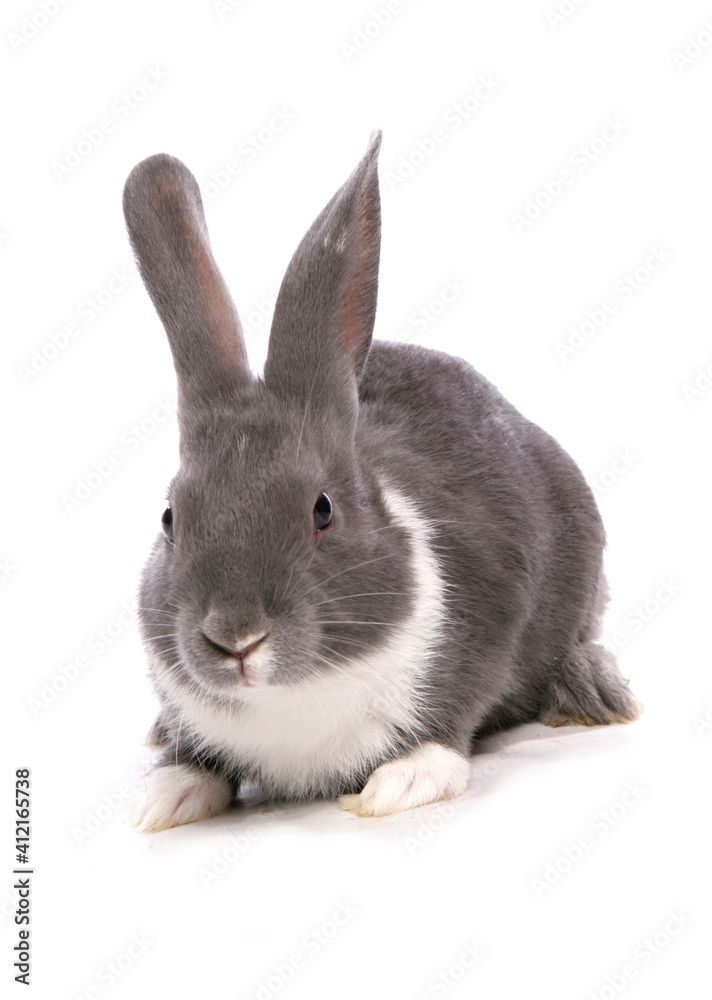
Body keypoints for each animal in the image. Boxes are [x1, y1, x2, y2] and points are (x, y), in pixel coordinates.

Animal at [123, 131, 641, 833]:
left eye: (322, 509)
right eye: (170, 518)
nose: (235, 637)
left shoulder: (487, 621)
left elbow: (449, 721)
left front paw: (402, 780)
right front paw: (165, 792)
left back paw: (592, 689)